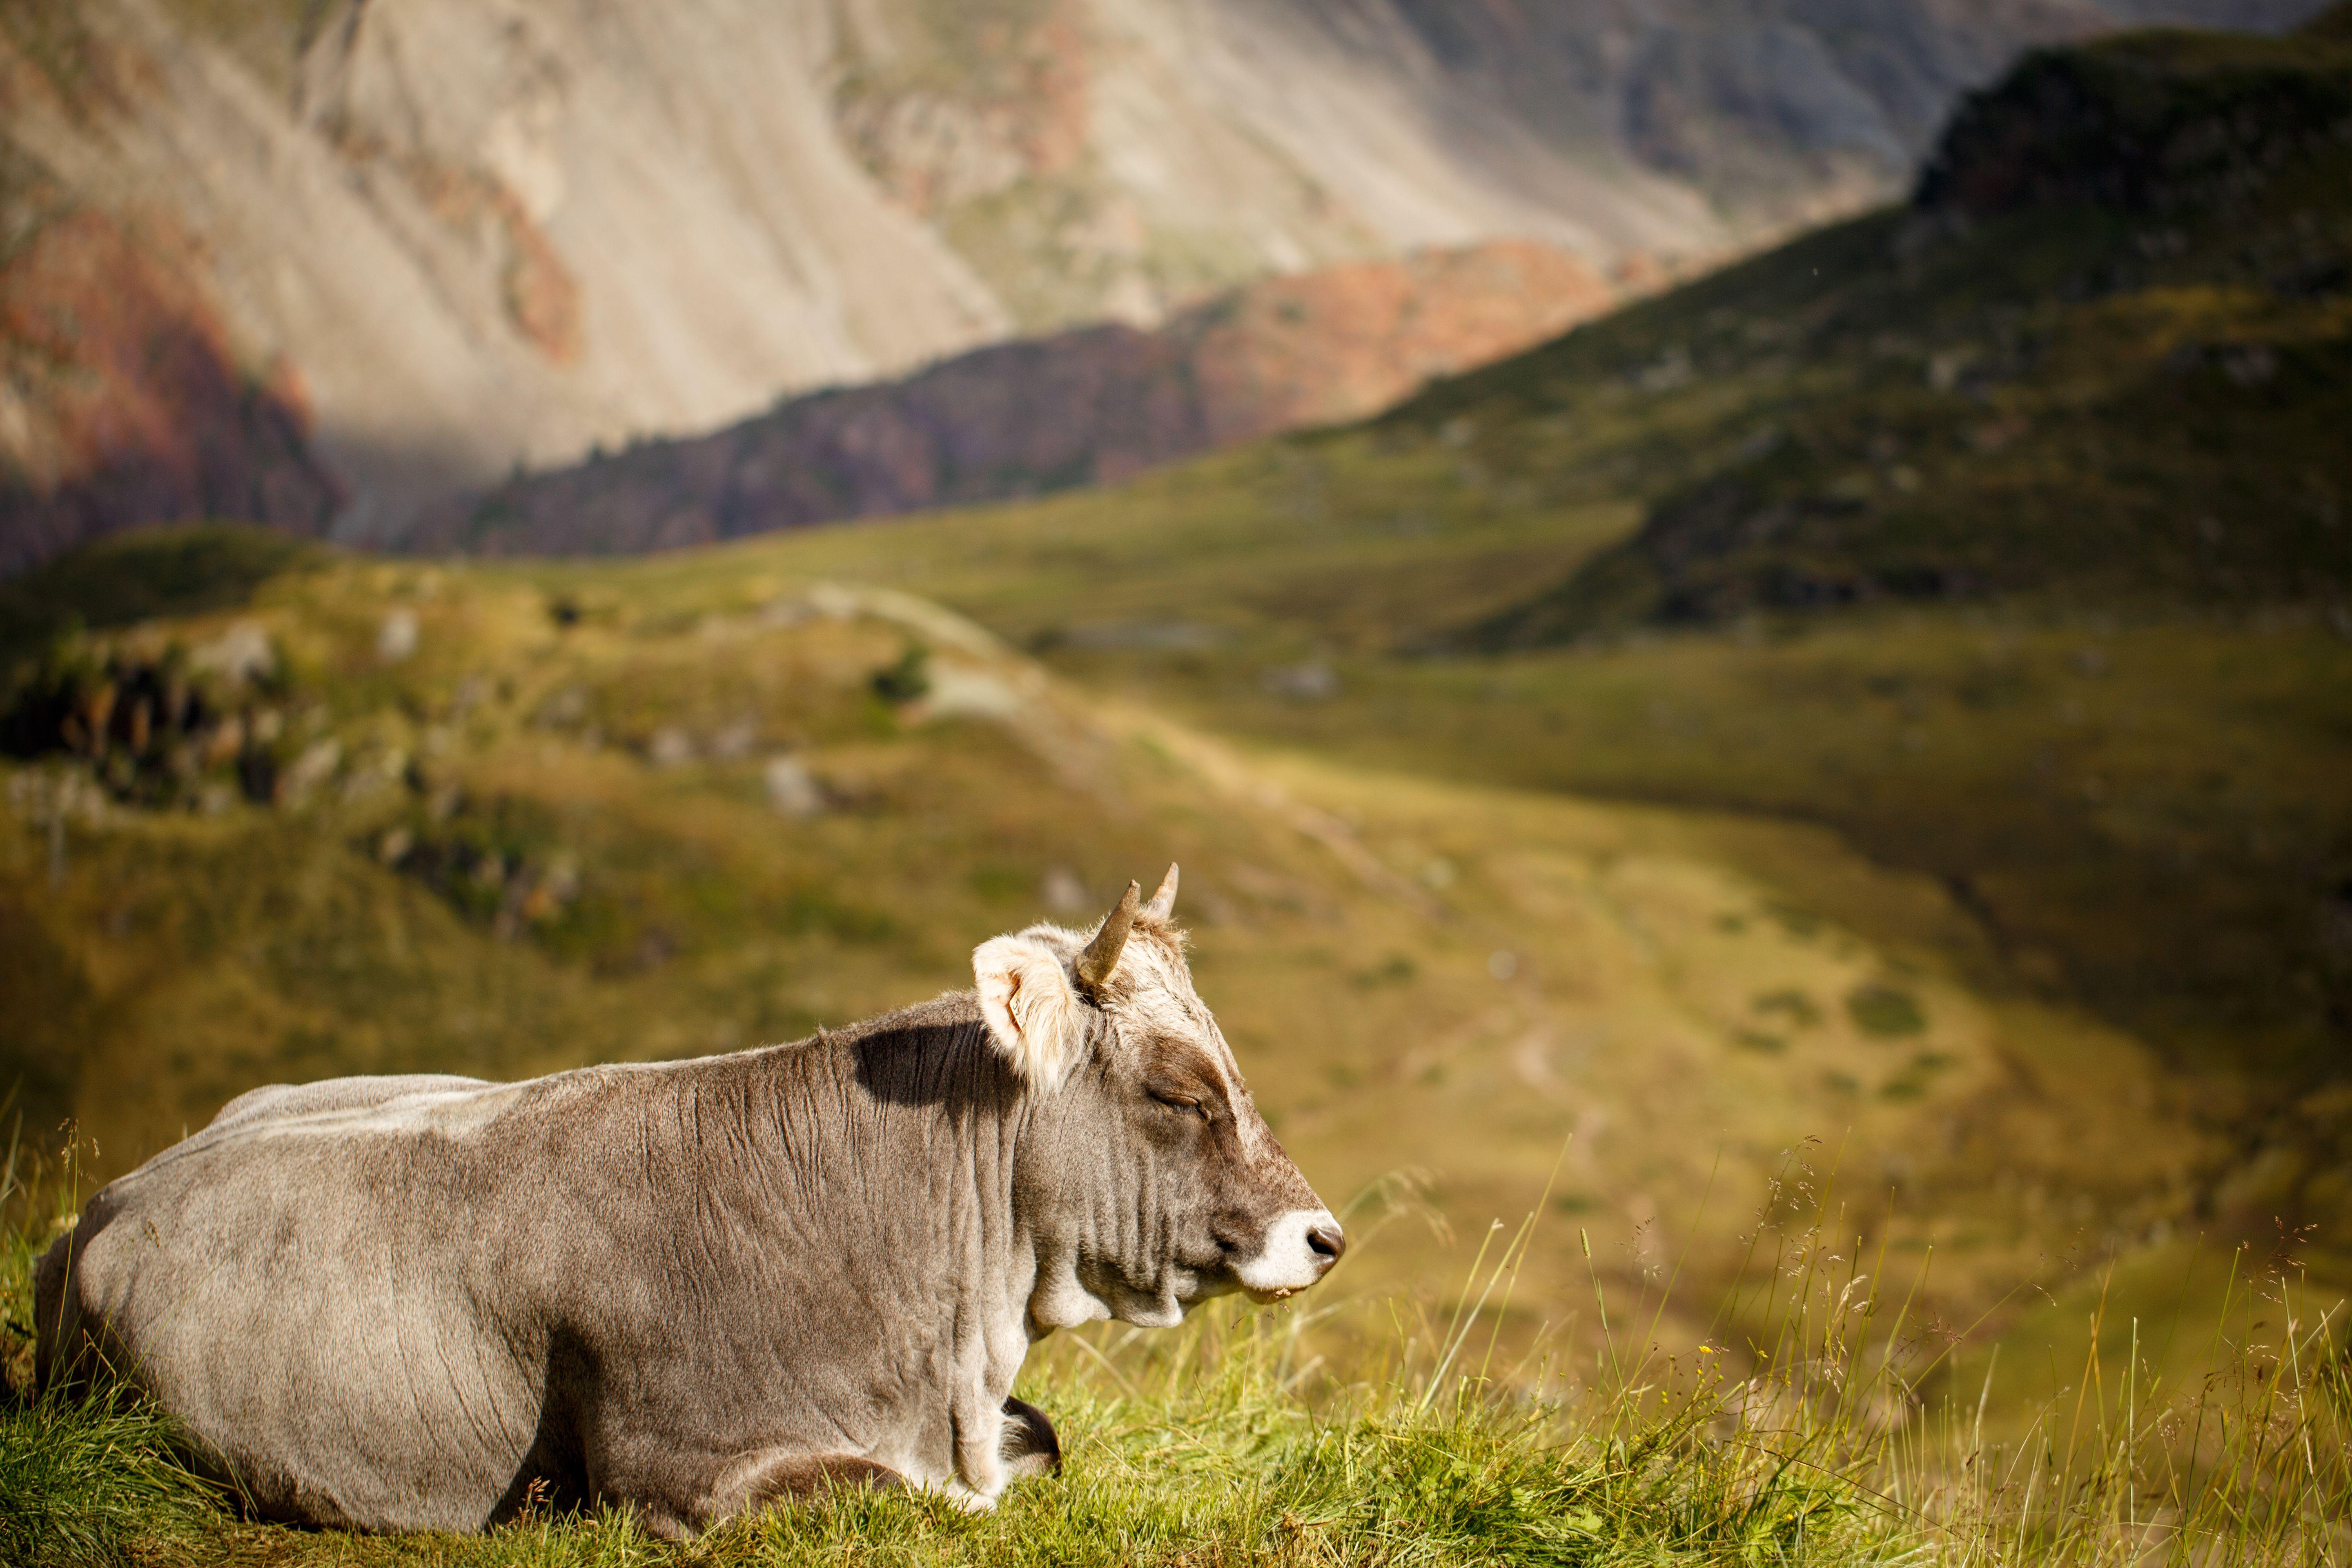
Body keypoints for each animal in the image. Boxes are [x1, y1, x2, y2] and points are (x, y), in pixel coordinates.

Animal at [34, 866, 1343, 1536]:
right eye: (1179, 1089)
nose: (1323, 1236)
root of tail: (99, 1208)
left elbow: (1046, 1447)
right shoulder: (676, 1470)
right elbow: (915, 1503)